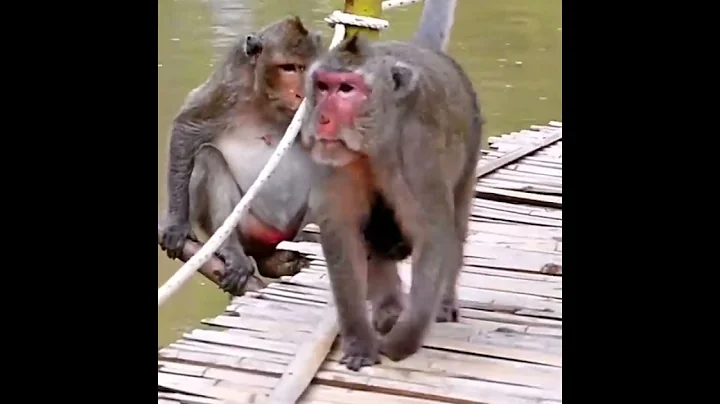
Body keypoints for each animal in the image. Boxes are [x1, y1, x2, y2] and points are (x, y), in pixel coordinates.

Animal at [158, 16, 324, 296]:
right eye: (289, 68)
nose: (302, 91)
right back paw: (233, 253)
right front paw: (177, 223)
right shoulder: (231, 81)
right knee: (208, 157)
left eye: (307, 69)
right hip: (250, 230)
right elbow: (188, 125)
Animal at [299, 0, 484, 370]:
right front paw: (360, 341)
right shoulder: (333, 160)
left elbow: (434, 232)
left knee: (455, 224)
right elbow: (342, 231)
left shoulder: (415, 153)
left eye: (347, 89)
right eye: (323, 86)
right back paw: (387, 308)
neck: (374, 142)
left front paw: (404, 341)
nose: (321, 118)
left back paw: (441, 303)